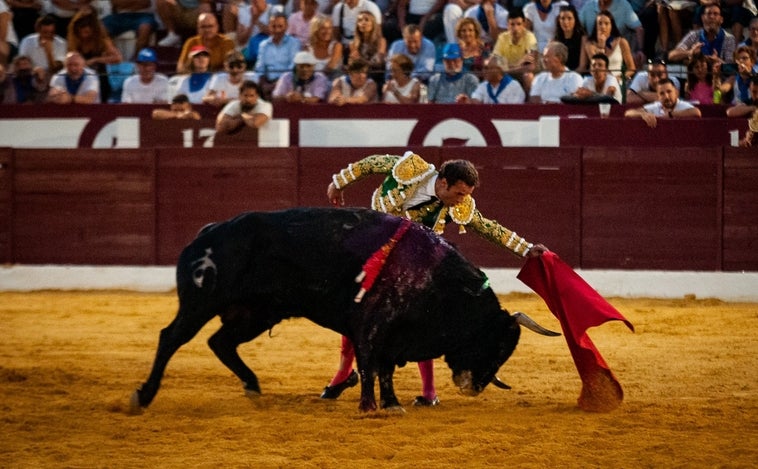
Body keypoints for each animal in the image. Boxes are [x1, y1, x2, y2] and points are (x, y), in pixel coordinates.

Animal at [132, 207, 560, 412]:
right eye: (498, 345)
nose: (476, 386)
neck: (436, 280)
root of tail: (207, 232)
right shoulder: (372, 325)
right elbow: (371, 363)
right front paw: (371, 406)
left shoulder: (394, 334)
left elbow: (384, 369)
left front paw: (391, 403)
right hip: (202, 301)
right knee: (171, 338)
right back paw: (143, 396)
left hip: (256, 312)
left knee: (221, 342)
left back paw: (253, 387)